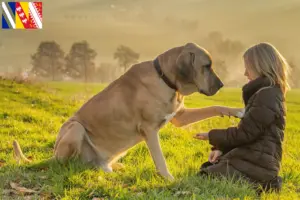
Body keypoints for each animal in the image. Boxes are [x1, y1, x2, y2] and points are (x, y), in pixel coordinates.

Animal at [15, 42, 243, 180]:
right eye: (207, 66)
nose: (222, 85)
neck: (164, 78)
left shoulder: (179, 116)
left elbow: (214, 107)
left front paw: (238, 111)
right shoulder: (149, 130)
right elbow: (160, 158)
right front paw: (169, 179)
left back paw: (111, 168)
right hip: (75, 128)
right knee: (65, 164)